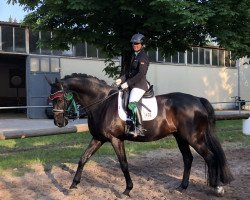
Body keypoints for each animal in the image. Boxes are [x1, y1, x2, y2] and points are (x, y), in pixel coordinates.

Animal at [47, 73, 233, 197]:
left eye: (59, 99)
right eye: (51, 98)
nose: (58, 122)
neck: (102, 103)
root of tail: (197, 99)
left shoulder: (115, 139)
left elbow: (124, 164)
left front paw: (127, 189)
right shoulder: (99, 138)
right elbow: (83, 159)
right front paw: (73, 185)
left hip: (193, 138)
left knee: (210, 157)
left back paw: (217, 188)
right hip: (180, 137)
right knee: (188, 159)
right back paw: (182, 187)